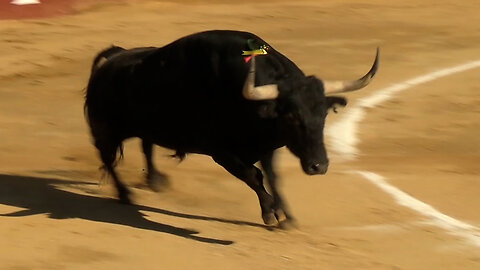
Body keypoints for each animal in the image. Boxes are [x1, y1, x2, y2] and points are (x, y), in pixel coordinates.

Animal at [85, 30, 378, 226]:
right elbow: (253, 176)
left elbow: (273, 176)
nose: (319, 166)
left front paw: (287, 214)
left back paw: (155, 181)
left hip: (145, 127)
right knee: (108, 159)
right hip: (105, 131)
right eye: (291, 116)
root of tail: (113, 58)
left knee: (146, 145)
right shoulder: (221, 151)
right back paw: (125, 194)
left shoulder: (266, 146)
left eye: (323, 115)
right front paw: (271, 213)